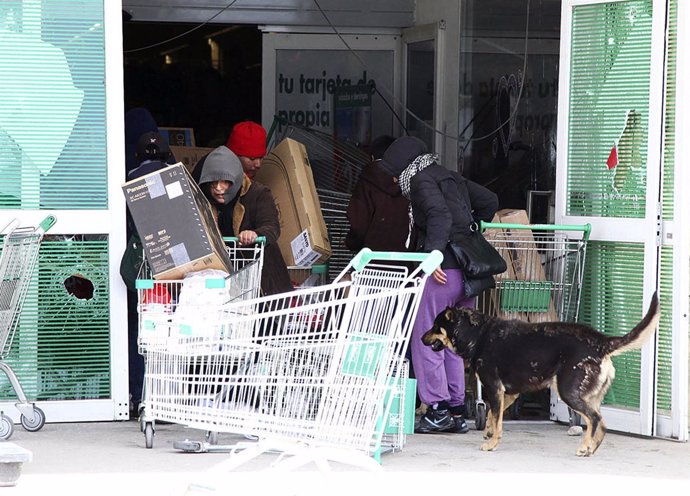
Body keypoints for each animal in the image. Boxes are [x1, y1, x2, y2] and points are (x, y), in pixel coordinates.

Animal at [416, 290, 660, 458]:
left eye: (435, 326)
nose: (420, 339)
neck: (477, 334)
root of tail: (601, 341)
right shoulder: (509, 393)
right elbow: (494, 417)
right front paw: (488, 433)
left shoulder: (494, 388)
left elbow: (497, 420)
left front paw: (491, 444)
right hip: (589, 396)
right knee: (600, 423)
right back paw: (590, 448)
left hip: (569, 392)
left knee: (594, 419)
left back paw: (585, 447)